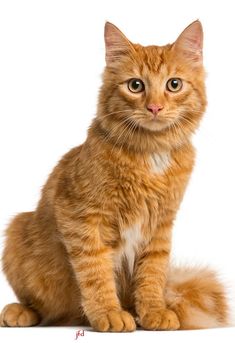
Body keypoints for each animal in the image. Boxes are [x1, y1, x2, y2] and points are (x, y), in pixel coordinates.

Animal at [0, 20, 228, 332]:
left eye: (174, 84)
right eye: (135, 85)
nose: (155, 107)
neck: (151, 153)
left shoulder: (160, 225)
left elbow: (152, 274)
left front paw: (153, 311)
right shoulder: (83, 218)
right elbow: (96, 272)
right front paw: (108, 312)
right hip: (17, 229)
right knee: (40, 306)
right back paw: (20, 311)